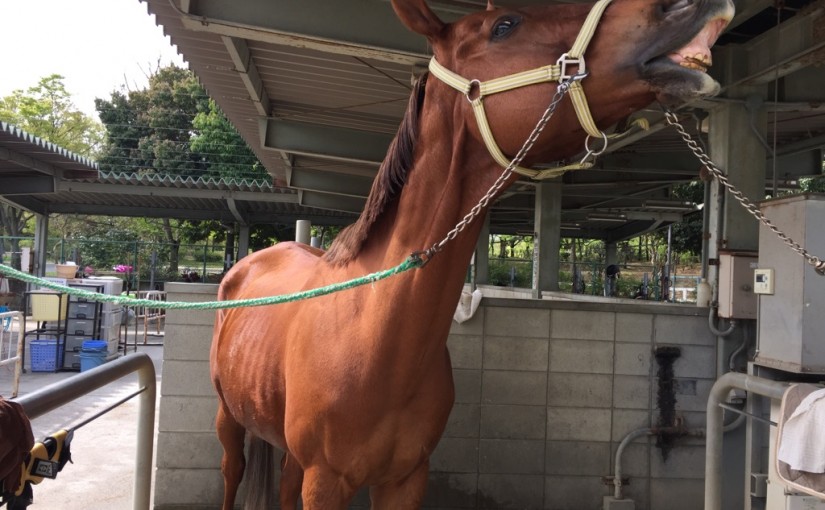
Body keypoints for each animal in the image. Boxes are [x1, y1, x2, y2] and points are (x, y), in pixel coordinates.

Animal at [210, 0, 733, 508]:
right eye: (504, 25)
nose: (682, 7)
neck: (371, 329)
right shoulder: (326, 482)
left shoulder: (406, 478)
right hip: (228, 419)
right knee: (232, 473)